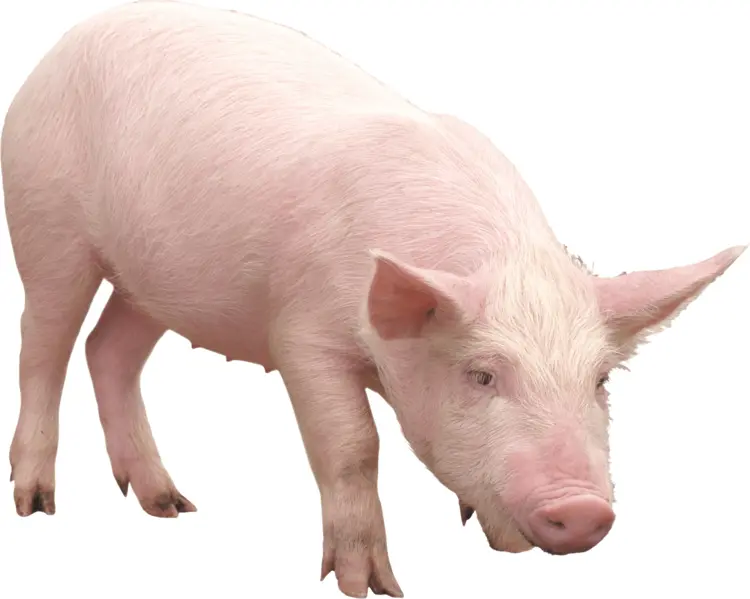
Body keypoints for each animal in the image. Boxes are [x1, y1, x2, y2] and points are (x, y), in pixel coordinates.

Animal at [1, 1, 745, 597]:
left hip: (152, 279)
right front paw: (374, 587)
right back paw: (37, 504)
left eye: (599, 382)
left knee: (108, 350)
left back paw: (170, 504)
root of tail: (66, 41)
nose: (586, 510)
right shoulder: (302, 335)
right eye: (481, 375)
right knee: (43, 344)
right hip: (46, 223)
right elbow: (354, 444)